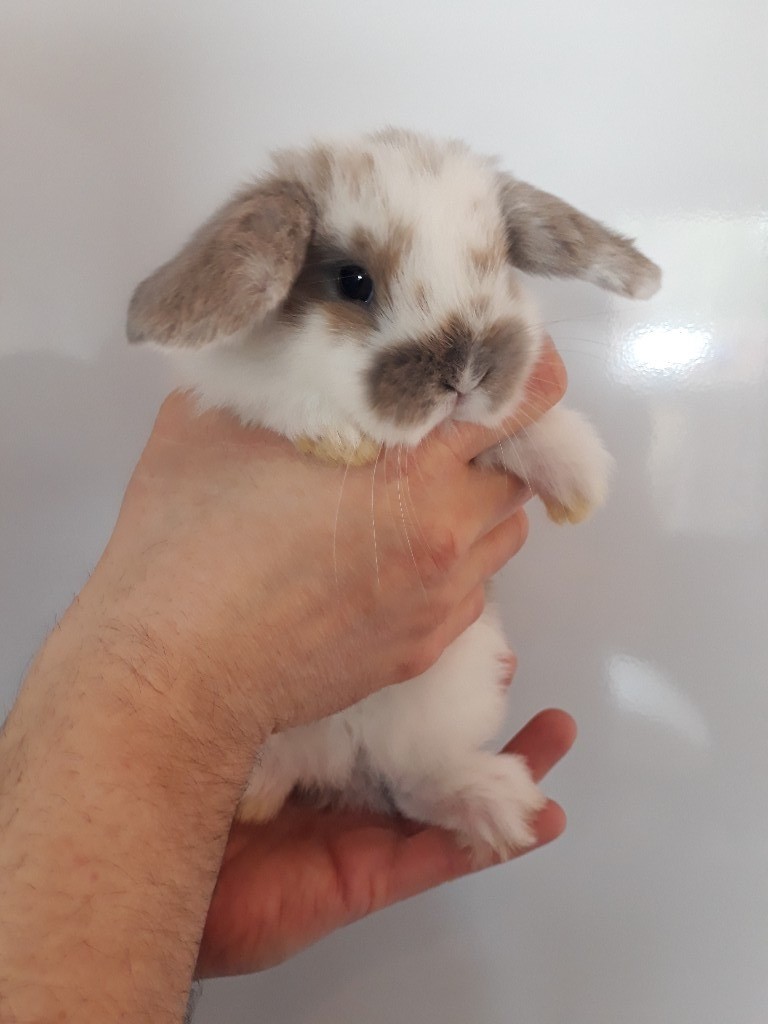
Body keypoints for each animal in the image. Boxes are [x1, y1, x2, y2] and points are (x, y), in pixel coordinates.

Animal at [127, 128, 660, 860]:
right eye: (353, 281)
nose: (466, 371)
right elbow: (285, 400)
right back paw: (256, 797)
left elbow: (518, 429)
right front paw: (339, 438)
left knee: (410, 781)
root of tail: (334, 755)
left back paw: (496, 804)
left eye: (498, 267)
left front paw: (580, 479)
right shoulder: (234, 387)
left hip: (444, 695)